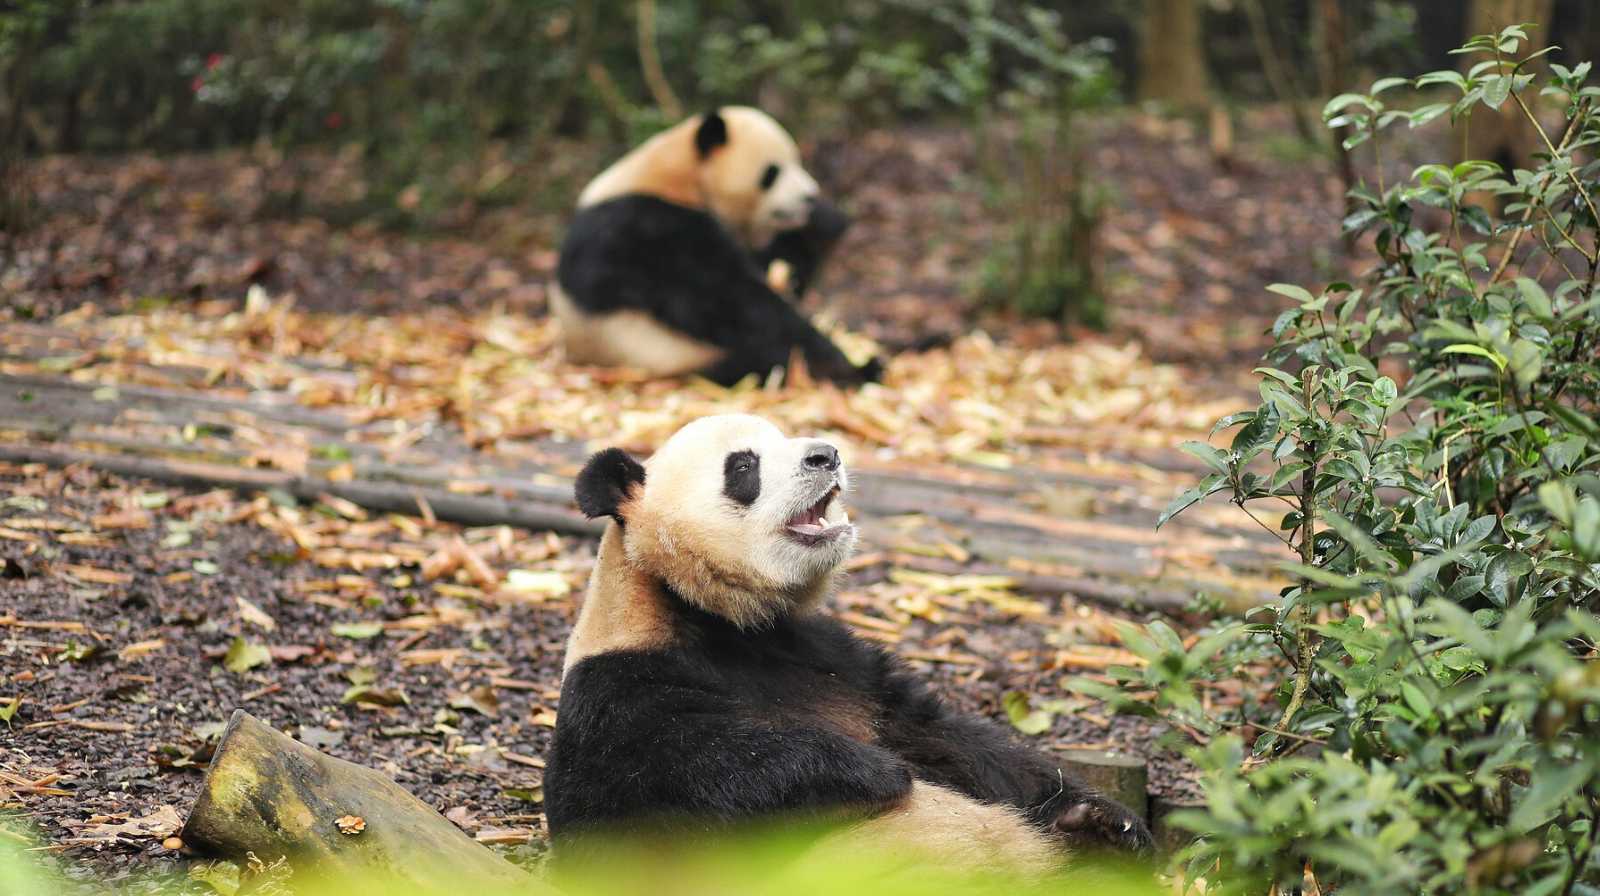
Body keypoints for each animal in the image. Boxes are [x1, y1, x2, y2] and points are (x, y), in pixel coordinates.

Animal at [544, 414, 1153, 874]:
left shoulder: (834, 659)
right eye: (743, 465)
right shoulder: (619, 687)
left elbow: (944, 735)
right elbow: (695, 774)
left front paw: (1104, 818)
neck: (715, 615)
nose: (827, 455)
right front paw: (874, 771)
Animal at [551, 108, 881, 387]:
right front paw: (839, 358)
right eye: (772, 172)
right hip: (664, 352)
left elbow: (773, 270)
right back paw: (854, 370)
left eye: (798, 162)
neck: (676, 175)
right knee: (763, 358)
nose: (809, 196)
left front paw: (824, 220)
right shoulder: (642, 224)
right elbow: (723, 296)